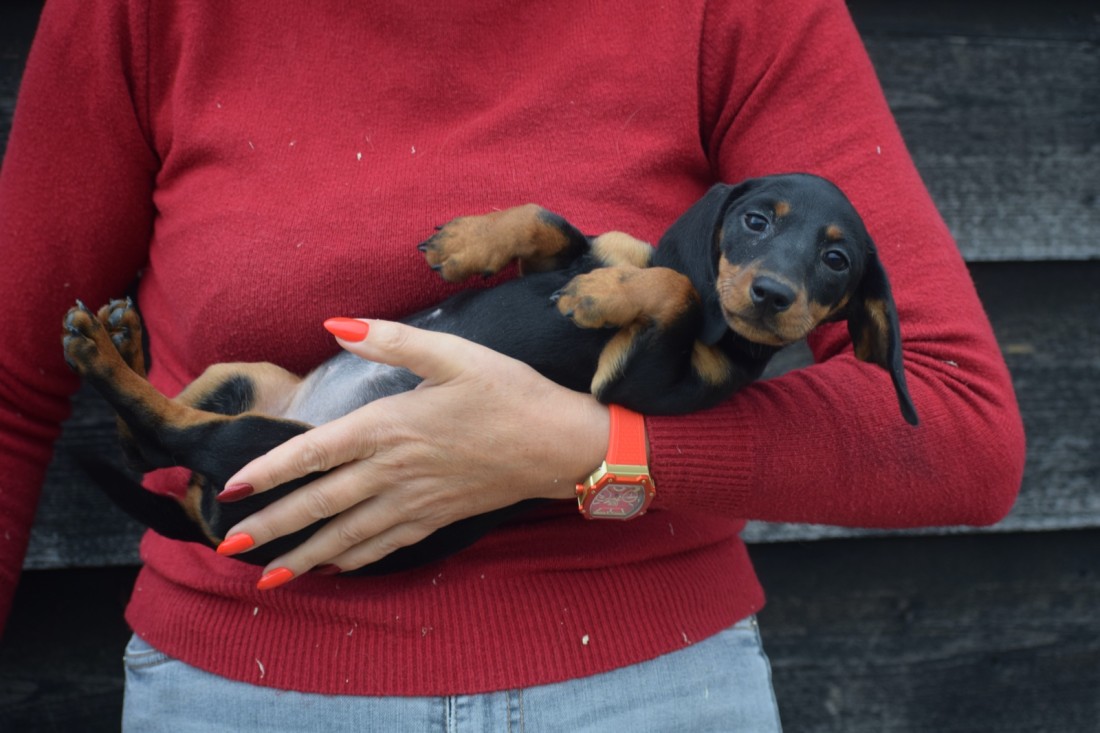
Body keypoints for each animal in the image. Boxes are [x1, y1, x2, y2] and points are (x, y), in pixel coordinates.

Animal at [62, 173, 918, 575]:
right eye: (754, 220)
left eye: (838, 262)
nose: (770, 296)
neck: (717, 315)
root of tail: (214, 525)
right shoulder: (595, 246)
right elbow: (552, 222)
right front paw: (469, 244)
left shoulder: (633, 383)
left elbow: (666, 289)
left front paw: (598, 298)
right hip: (240, 372)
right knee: (146, 442)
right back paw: (123, 334)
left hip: (264, 445)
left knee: (168, 433)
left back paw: (102, 351)